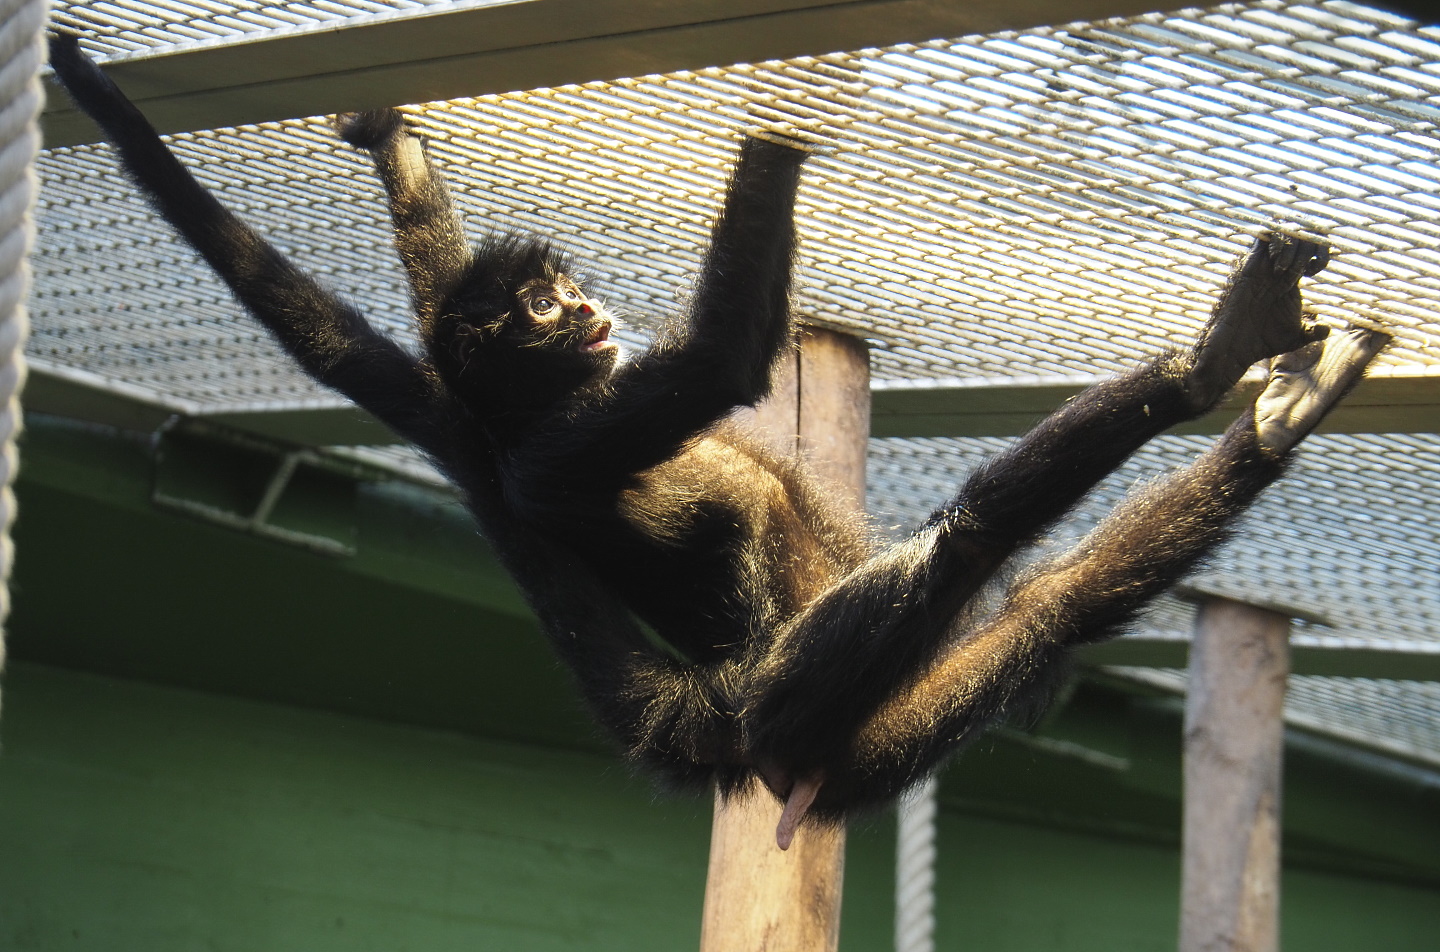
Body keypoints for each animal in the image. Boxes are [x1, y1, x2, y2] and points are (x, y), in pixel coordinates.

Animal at [49, 33, 1387, 849]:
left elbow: (350, 337)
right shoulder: (554, 450)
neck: (545, 413)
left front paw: (383, 140)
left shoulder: (464, 418)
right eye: (545, 306)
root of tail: (721, 727)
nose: (586, 308)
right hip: (790, 710)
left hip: (875, 733)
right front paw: (778, 130)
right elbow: (720, 365)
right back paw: (1208, 366)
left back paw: (1266, 416)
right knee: (970, 539)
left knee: (1053, 608)